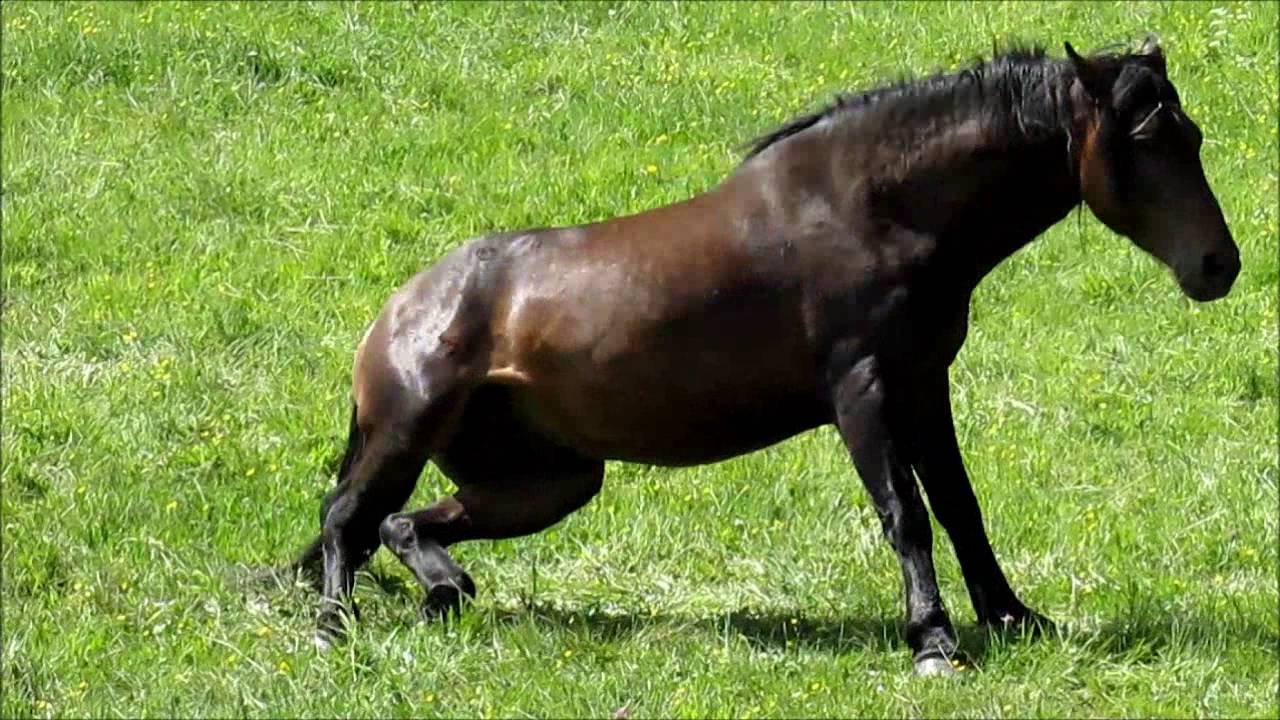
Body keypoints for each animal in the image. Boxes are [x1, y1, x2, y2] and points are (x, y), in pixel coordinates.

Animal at [292, 38, 1239, 676]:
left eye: (1192, 133)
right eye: (1146, 139)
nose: (1218, 265)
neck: (875, 209)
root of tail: (398, 311)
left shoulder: (923, 385)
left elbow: (962, 508)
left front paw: (1011, 617)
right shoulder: (862, 391)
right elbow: (907, 513)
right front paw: (932, 641)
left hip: (551, 480)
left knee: (399, 526)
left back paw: (446, 590)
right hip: (408, 432)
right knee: (346, 519)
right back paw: (335, 629)